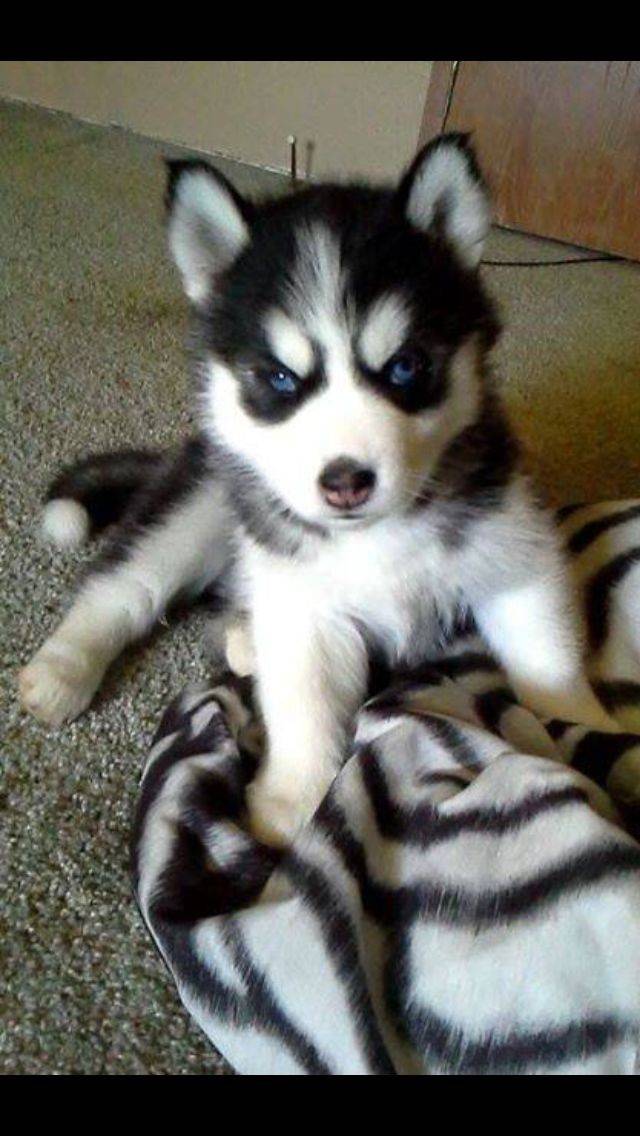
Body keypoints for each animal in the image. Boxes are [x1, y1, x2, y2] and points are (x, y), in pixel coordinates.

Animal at [19, 134, 615, 844]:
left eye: (406, 366)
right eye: (281, 377)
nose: (346, 482)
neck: (377, 536)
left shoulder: (514, 551)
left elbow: (549, 660)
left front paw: (592, 729)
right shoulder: (309, 619)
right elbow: (305, 712)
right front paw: (289, 805)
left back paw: (244, 638)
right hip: (203, 505)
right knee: (124, 588)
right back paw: (61, 671)